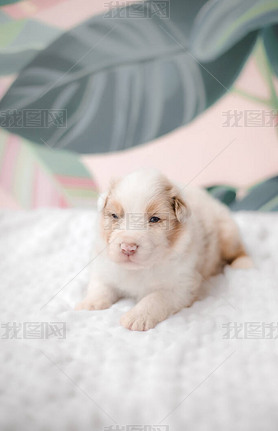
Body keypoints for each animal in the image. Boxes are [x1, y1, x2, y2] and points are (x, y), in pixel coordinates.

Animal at [75, 170, 252, 332]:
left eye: (154, 219)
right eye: (114, 216)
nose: (128, 247)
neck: (138, 270)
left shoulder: (181, 286)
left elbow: (155, 297)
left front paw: (136, 317)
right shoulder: (104, 267)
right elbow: (100, 286)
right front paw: (89, 303)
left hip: (227, 232)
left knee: (239, 251)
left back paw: (244, 265)